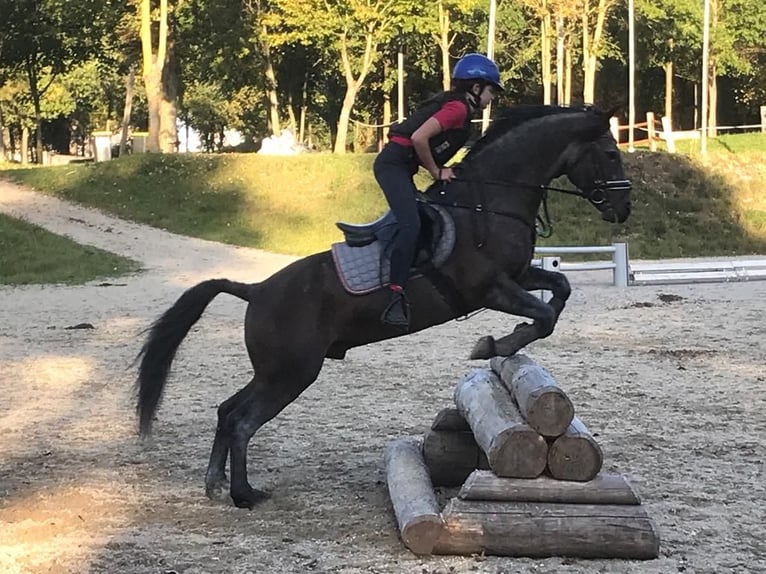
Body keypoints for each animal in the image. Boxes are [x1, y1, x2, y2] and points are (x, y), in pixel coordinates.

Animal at [135, 103, 632, 508]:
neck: (490, 202)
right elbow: (544, 315)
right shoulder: (490, 288)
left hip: (276, 372)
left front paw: (503, 343)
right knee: (241, 420)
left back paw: (215, 484)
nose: (624, 208)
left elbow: (560, 290)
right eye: (610, 154)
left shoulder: (520, 275)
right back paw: (243, 494)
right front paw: (494, 345)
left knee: (226, 411)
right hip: (291, 373)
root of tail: (256, 290)